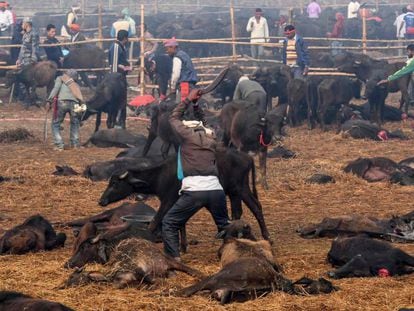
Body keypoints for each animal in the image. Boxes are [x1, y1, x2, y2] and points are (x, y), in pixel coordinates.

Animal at [62, 239, 203, 290]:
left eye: (73, 277)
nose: (62, 285)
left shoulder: (138, 269)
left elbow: (153, 281)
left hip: (168, 259)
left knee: (189, 269)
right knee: (172, 273)